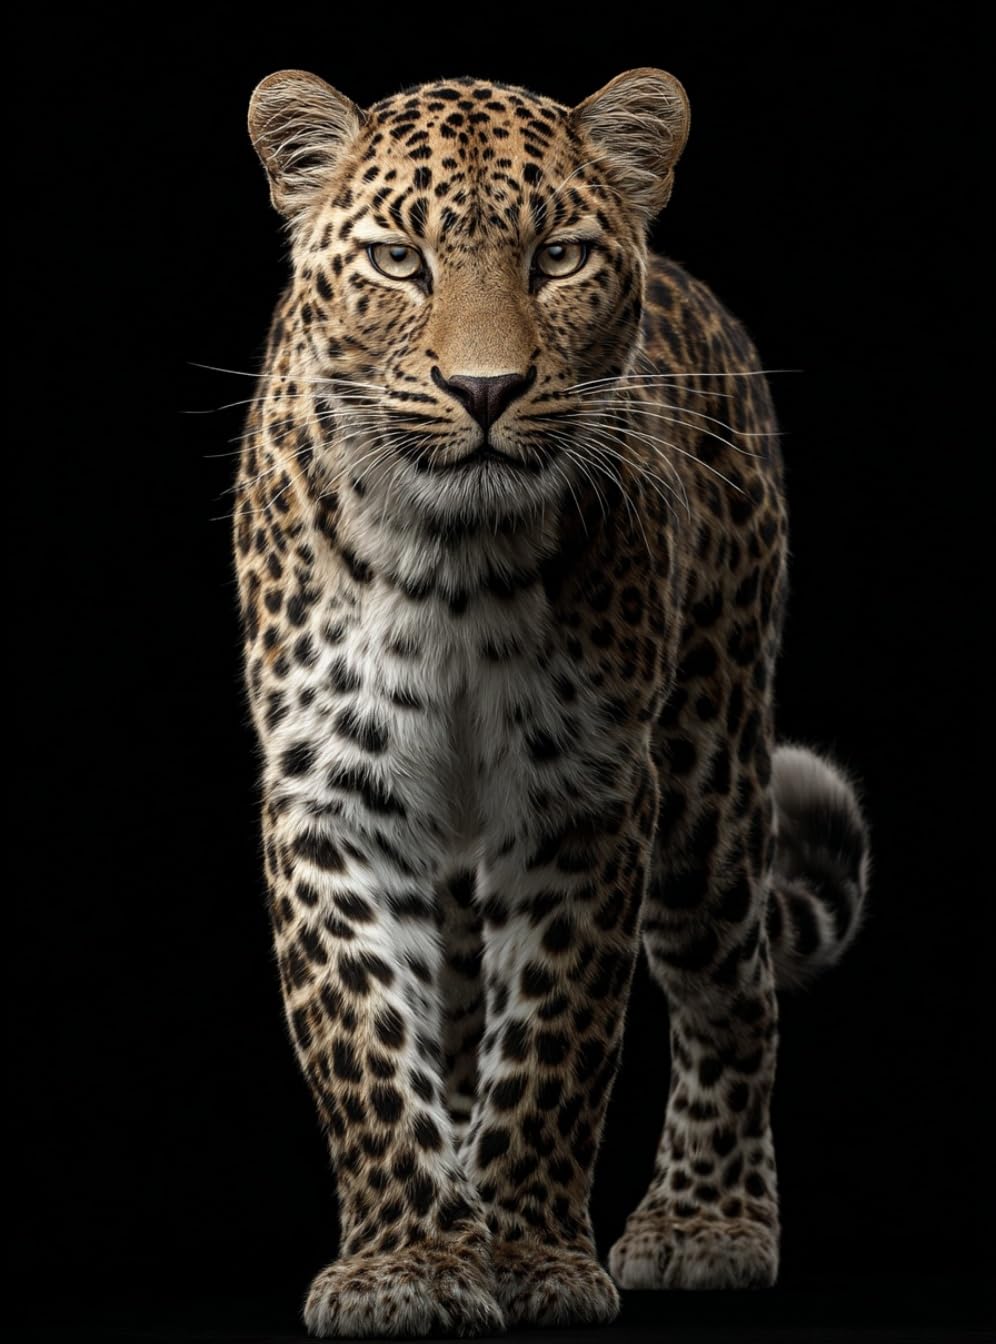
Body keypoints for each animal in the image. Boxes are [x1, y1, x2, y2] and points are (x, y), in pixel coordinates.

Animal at [232, 66, 871, 1338]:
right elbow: (365, 1035)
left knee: (734, 993)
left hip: (712, 773)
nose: (486, 390)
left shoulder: (588, 792)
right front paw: (411, 1262)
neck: (451, 560)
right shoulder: (334, 790)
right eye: (399, 261)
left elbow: (556, 1040)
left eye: (559, 257)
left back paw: (708, 1221)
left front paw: (531, 1257)